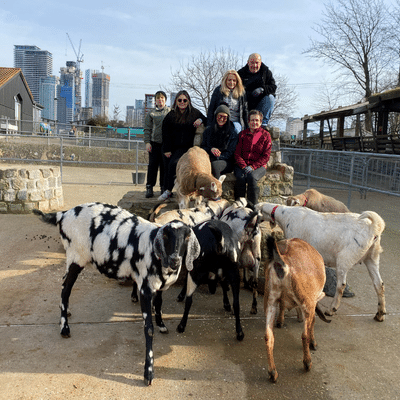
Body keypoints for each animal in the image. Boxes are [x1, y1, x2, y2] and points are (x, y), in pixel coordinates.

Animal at [33, 203, 200, 384]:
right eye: (166, 236)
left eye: (187, 237)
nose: (175, 259)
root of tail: (63, 215)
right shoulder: (145, 289)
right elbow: (148, 329)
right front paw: (148, 372)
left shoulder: (159, 287)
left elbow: (159, 303)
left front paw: (161, 324)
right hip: (76, 256)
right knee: (65, 288)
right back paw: (64, 328)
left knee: (64, 283)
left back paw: (66, 312)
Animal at [262, 236, 328, 382]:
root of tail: (281, 262)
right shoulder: (311, 302)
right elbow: (312, 322)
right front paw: (314, 343)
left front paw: (280, 321)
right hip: (305, 300)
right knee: (304, 335)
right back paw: (307, 363)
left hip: (270, 299)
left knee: (268, 336)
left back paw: (272, 372)